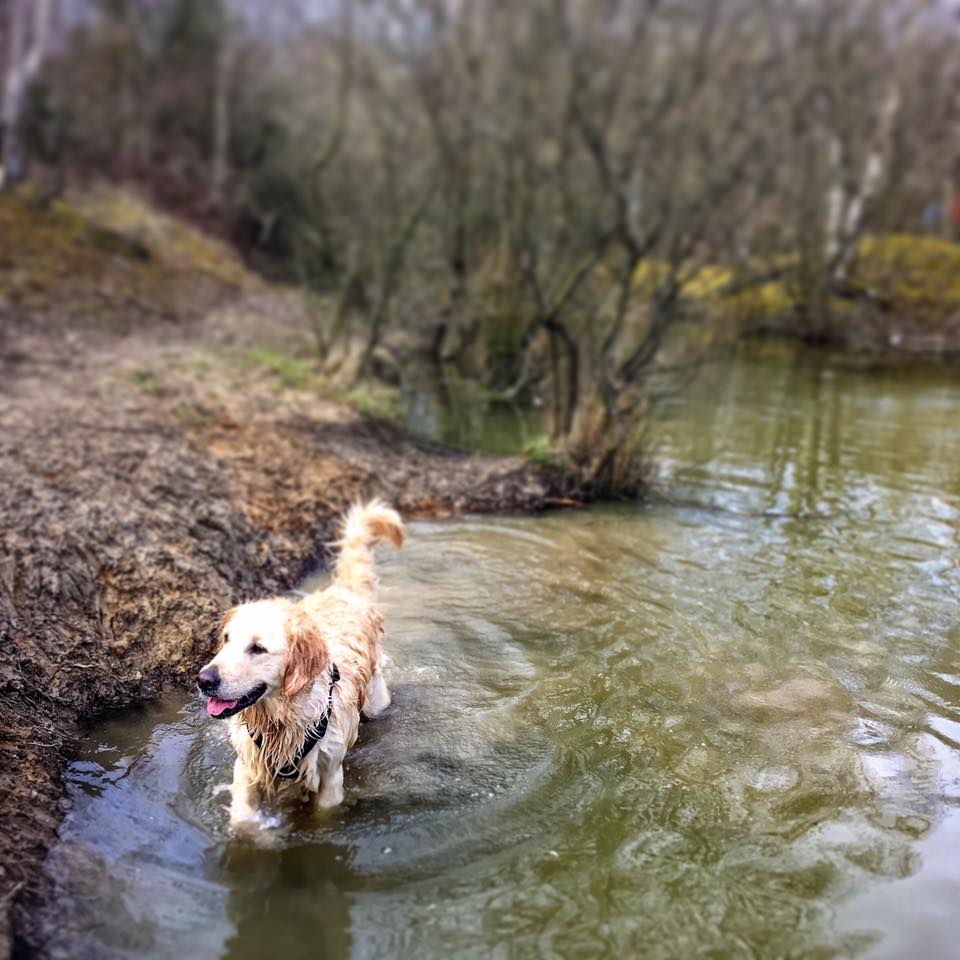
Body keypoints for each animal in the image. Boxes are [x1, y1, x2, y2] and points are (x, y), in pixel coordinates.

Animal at [197, 498, 404, 820]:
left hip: (377, 699)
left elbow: (323, 816)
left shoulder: (330, 774)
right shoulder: (246, 768)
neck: (281, 720)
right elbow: (244, 820)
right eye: (227, 639)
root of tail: (342, 591)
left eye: (257, 648)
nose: (203, 680)